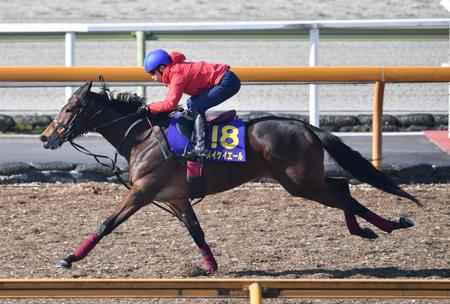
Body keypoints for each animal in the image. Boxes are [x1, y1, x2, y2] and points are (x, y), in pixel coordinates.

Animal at [38, 81, 418, 274]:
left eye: (69, 108)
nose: (45, 137)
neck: (140, 137)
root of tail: (306, 126)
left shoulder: (142, 191)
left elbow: (106, 223)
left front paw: (70, 257)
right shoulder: (176, 197)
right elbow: (196, 231)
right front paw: (210, 266)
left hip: (299, 183)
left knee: (342, 193)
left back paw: (388, 225)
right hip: (303, 181)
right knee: (341, 187)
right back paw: (368, 229)